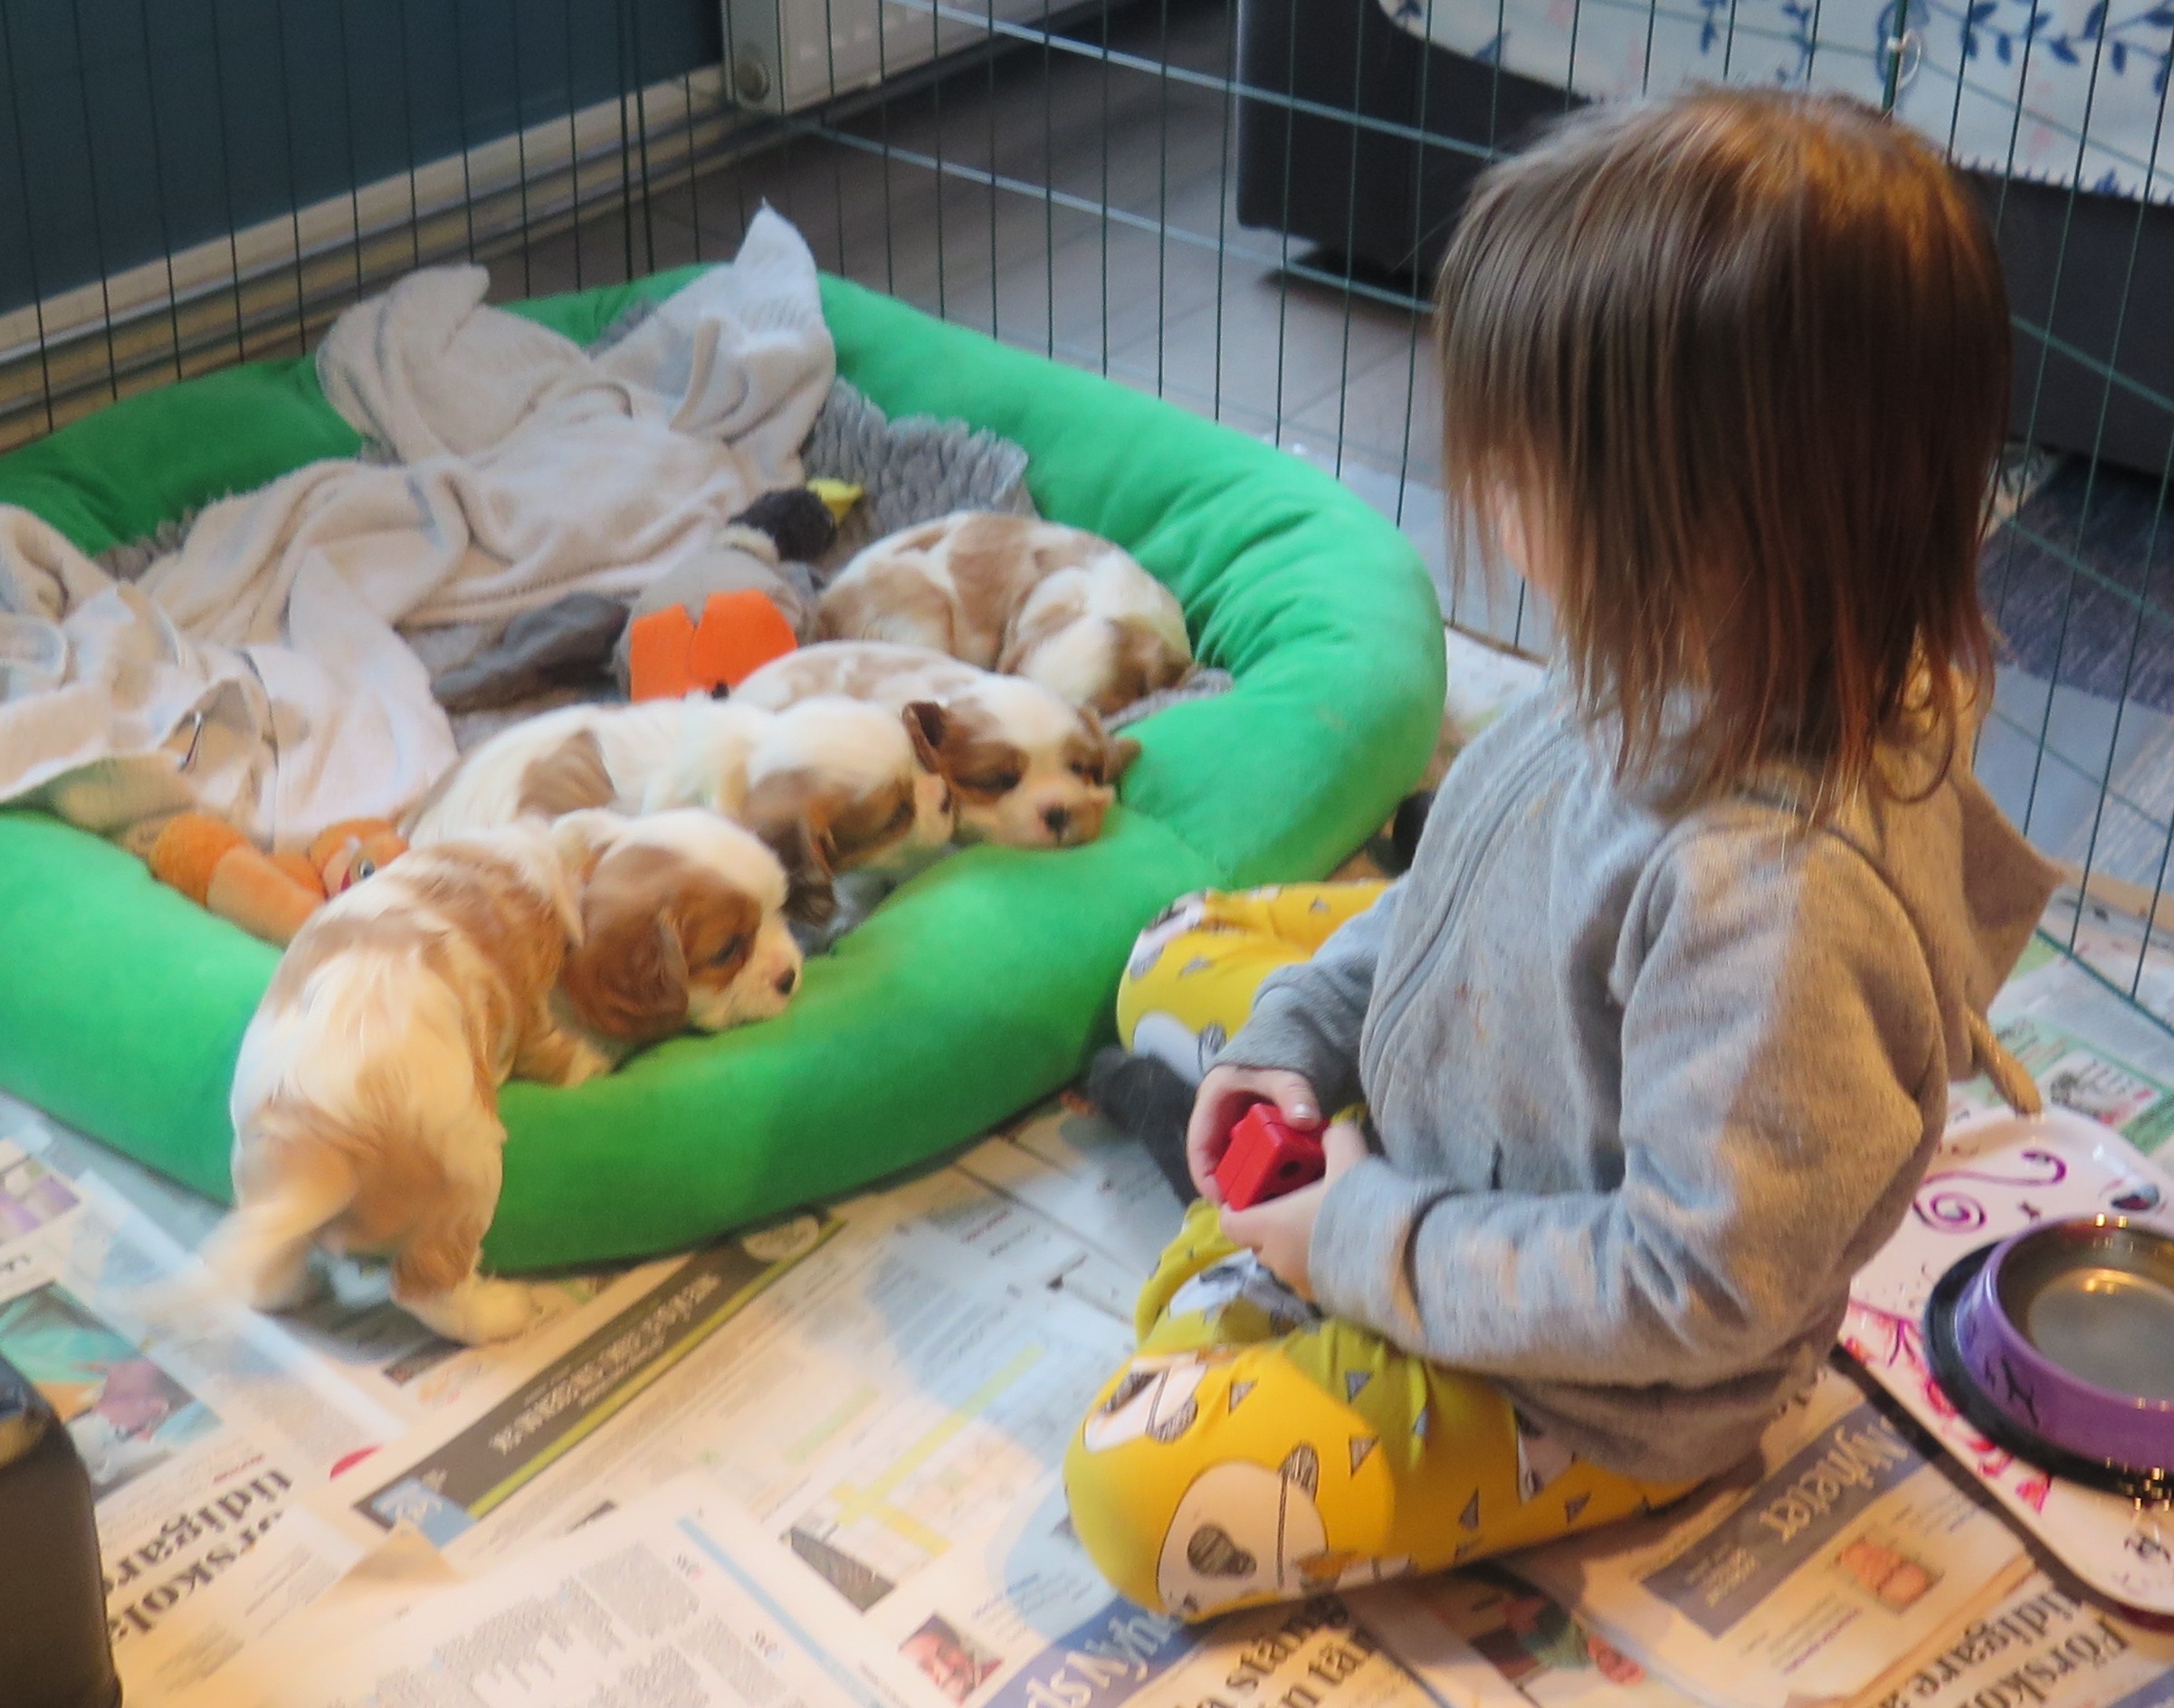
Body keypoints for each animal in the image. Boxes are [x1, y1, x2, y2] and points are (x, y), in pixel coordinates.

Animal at [208, 809, 801, 1344]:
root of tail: (317, 1152)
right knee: (424, 1284)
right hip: (467, 1167)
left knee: (264, 1274)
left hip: (259, 1185)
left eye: (781, 909)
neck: (582, 864)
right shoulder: (549, 1033)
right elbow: (581, 1056)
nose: (791, 976)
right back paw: (501, 1314)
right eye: (728, 951)